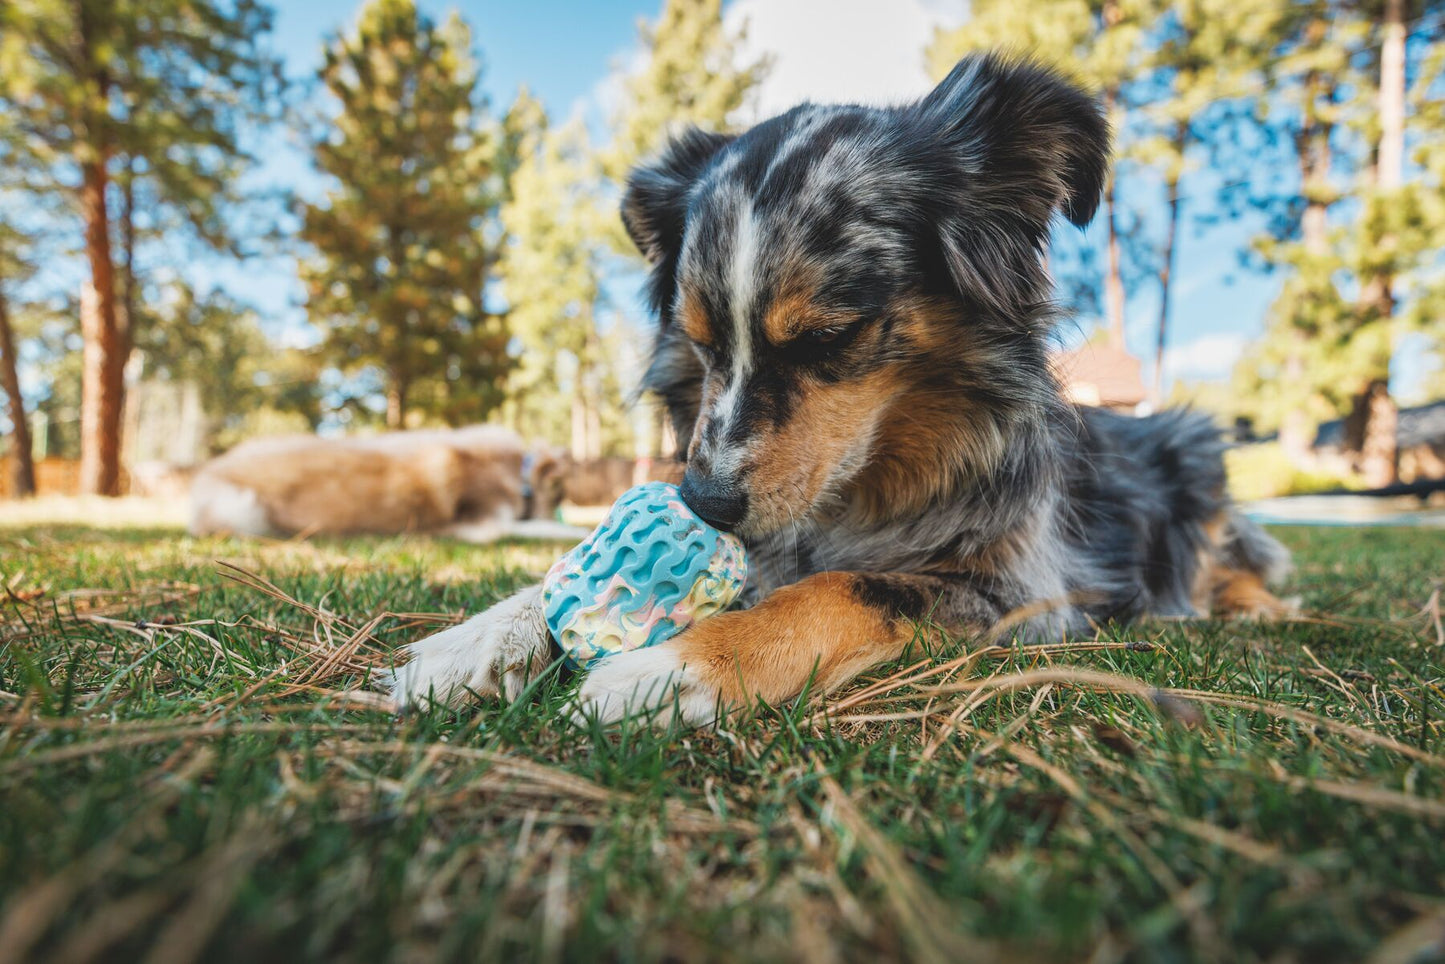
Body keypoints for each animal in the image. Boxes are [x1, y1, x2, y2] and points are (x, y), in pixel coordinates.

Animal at [384, 54, 1288, 722]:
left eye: (829, 335)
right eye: (700, 339)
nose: (705, 504)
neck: (870, 482)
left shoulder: (1022, 590)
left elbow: (848, 587)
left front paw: (680, 667)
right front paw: (481, 637)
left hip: (1194, 449)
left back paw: (1257, 604)